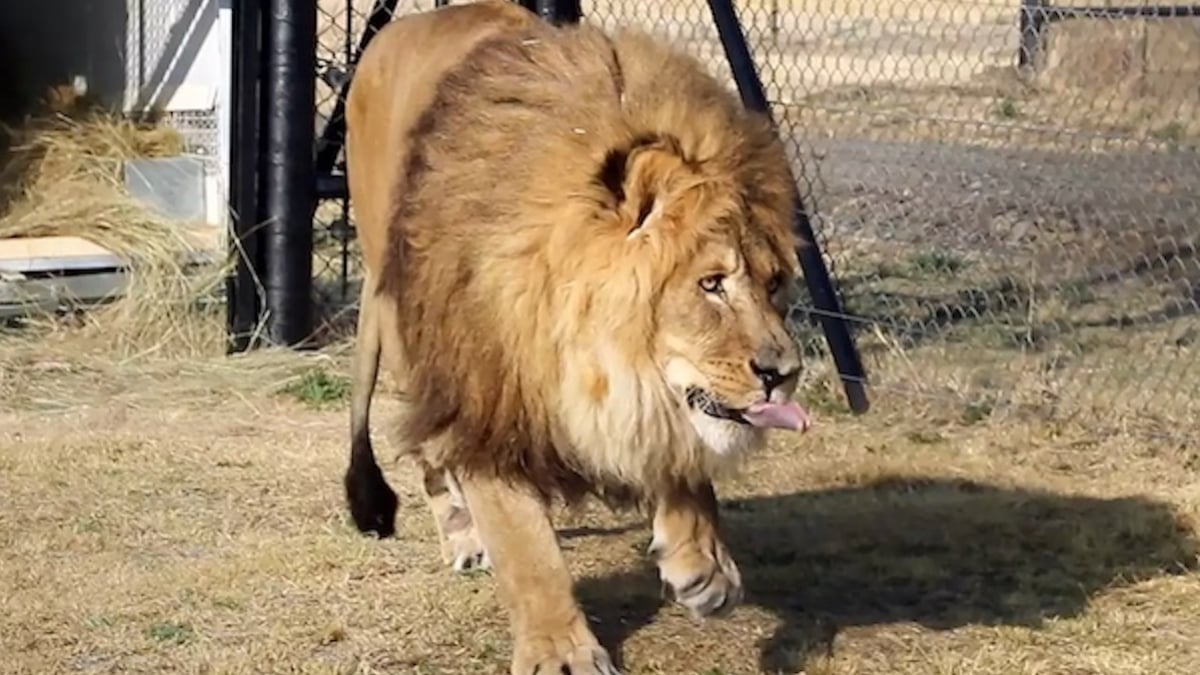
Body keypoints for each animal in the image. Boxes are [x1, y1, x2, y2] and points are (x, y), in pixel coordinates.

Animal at [348, 2, 816, 667]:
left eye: (775, 283)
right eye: (711, 284)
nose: (784, 375)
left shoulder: (648, 395)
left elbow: (675, 444)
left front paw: (703, 565)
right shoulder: (486, 395)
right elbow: (527, 549)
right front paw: (560, 652)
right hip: (410, 331)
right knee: (430, 455)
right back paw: (462, 537)